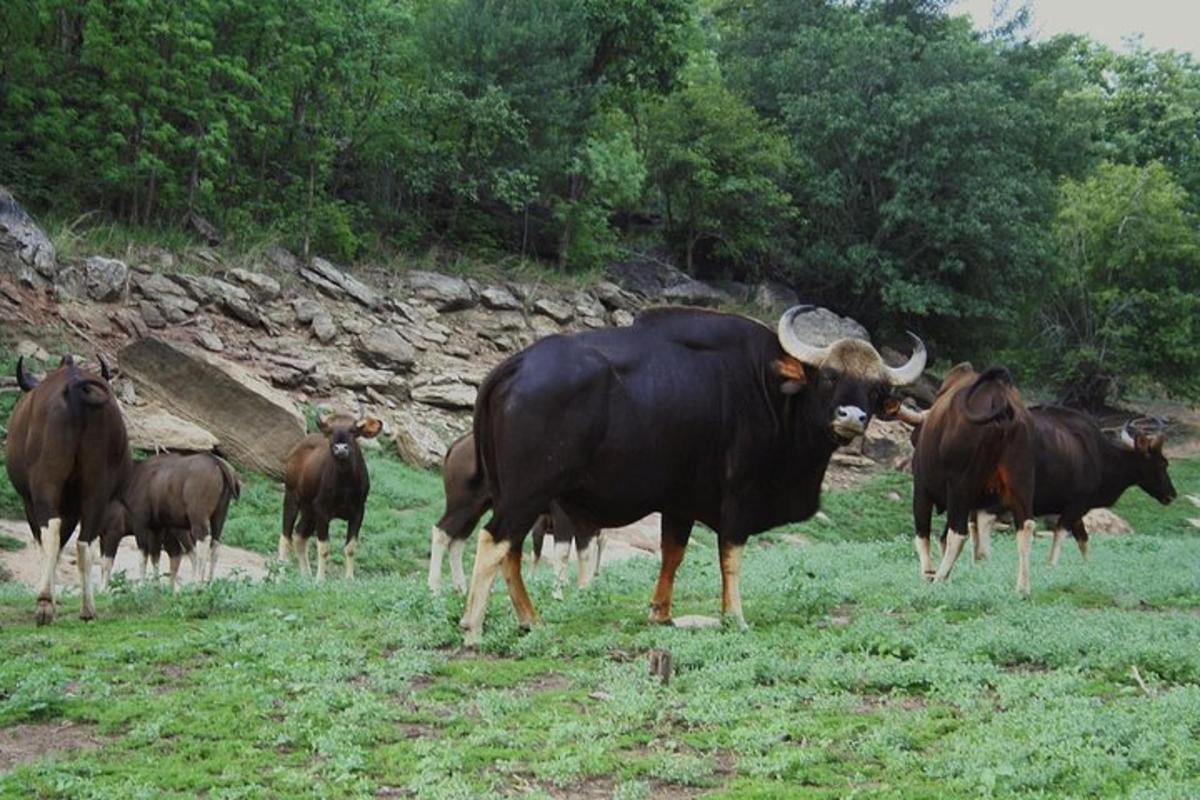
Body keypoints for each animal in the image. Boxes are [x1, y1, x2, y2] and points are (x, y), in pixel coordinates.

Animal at [279, 417, 379, 578]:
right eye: (331, 432)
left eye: (353, 431)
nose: (341, 448)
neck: (345, 485)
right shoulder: (322, 510)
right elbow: (324, 548)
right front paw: (320, 579)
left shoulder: (358, 511)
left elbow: (350, 547)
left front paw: (349, 578)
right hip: (291, 496)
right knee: (286, 535)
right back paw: (280, 574)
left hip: (309, 510)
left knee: (299, 535)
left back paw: (306, 575)